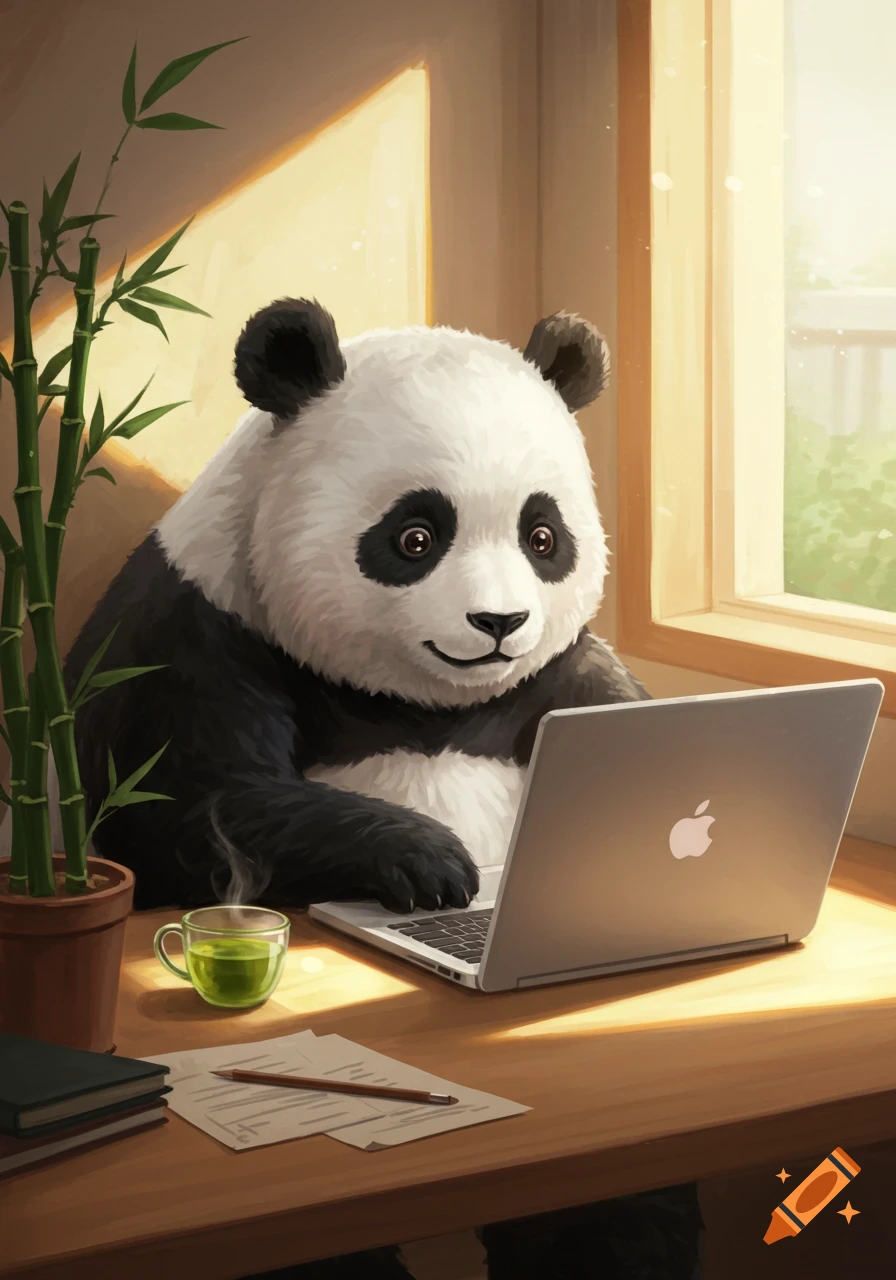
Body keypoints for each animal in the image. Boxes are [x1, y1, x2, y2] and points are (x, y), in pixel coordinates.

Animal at [57, 298, 649, 912]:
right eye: (416, 538)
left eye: (542, 538)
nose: (498, 621)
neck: (425, 708)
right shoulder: (189, 638)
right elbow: (193, 811)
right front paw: (431, 860)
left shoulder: (558, 677)